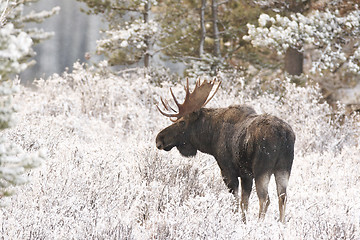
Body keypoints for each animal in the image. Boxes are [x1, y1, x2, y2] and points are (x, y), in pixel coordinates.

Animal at [155, 78, 296, 222]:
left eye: (182, 121)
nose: (159, 139)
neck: (210, 139)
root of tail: (283, 134)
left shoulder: (228, 171)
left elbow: (236, 201)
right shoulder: (246, 175)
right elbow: (244, 203)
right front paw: (243, 222)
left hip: (262, 169)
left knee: (265, 199)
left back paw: (259, 224)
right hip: (284, 167)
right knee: (282, 197)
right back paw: (281, 223)